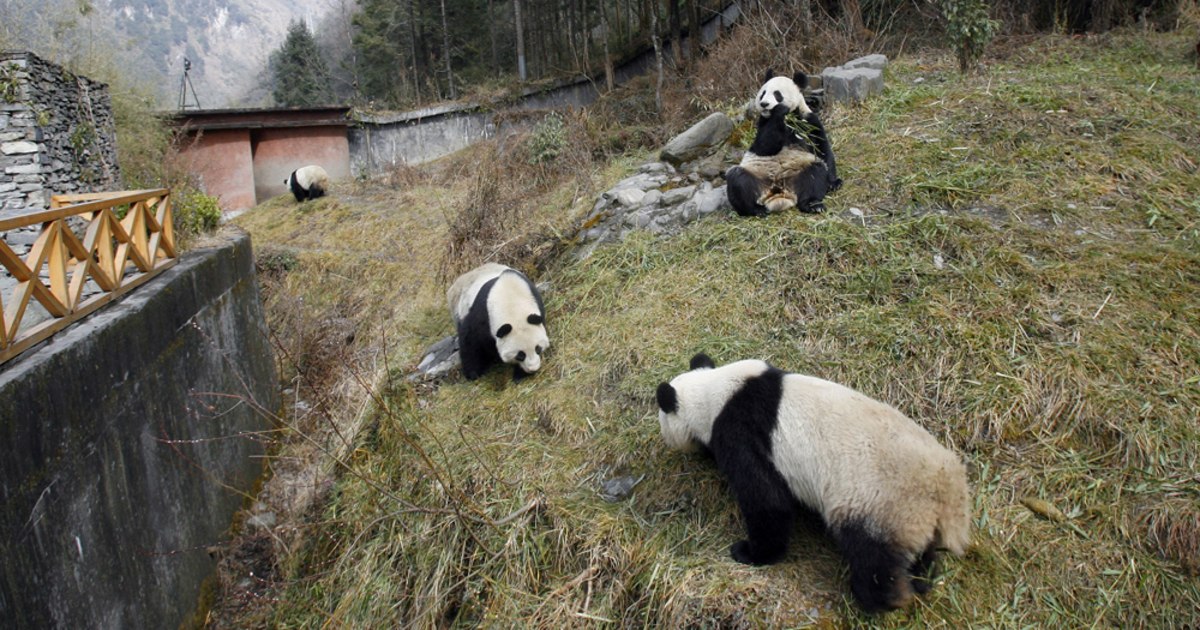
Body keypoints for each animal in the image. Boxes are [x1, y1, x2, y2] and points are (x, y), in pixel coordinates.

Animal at [654, 353, 970, 613]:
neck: (715, 392)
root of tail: (948, 490)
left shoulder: (742, 432)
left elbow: (767, 501)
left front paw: (749, 552)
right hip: (913, 516)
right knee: (919, 553)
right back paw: (921, 580)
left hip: (882, 502)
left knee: (873, 556)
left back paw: (879, 599)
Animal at [726, 70, 842, 216]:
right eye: (763, 93)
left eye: (777, 94)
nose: (764, 104)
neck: (789, 118)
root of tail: (779, 193)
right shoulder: (763, 122)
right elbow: (764, 146)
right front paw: (779, 111)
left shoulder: (808, 121)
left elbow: (822, 148)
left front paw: (834, 183)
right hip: (757, 175)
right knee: (738, 180)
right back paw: (756, 210)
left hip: (797, 174)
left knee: (815, 173)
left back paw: (813, 205)